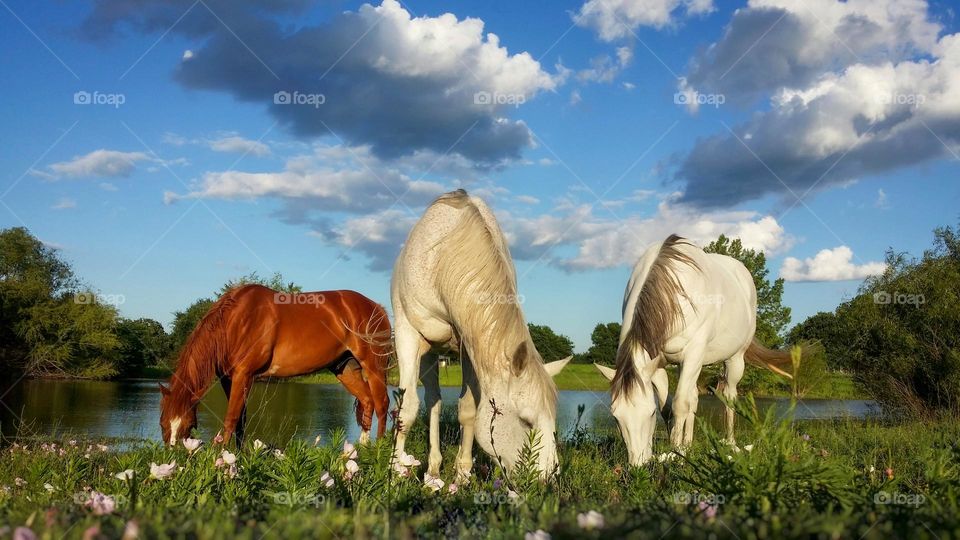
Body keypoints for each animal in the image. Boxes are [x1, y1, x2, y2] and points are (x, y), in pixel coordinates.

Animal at [159, 284, 392, 446]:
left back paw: (379, 451)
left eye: (189, 425)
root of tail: (377, 308)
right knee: (367, 402)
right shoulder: (229, 379)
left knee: (382, 404)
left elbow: (231, 418)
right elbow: (241, 420)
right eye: (162, 423)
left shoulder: (244, 375)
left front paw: (222, 462)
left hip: (374, 367)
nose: (174, 456)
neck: (235, 322)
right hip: (345, 369)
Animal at [390, 189, 568, 476]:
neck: (443, 257)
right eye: (526, 421)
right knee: (432, 400)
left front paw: (462, 474)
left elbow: (468, 410)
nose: (548, 477)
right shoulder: (408, 334)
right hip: (427, 352)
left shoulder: (472, 345)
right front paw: (394, 472)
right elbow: (406, 408)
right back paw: (431, 469)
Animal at [596, 234, 792, 466]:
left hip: (734, 359)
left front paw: (675, 453)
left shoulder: (693, 355)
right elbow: (671, 408)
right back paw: (688, 444)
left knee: (729, 396)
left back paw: (730, 443)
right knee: (694, 398)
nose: (638, 465)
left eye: (650, 414)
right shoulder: (659, 364)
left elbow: (680, 404)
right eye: (616, 416)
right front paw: (679, 448)